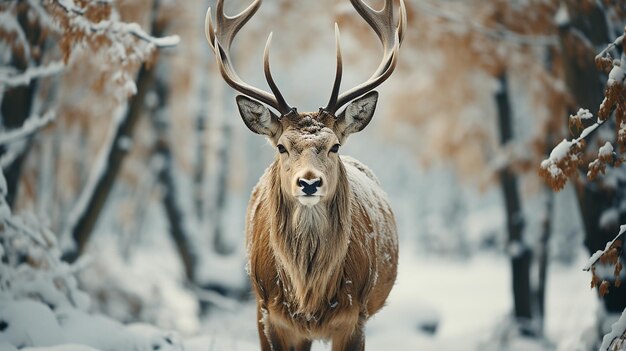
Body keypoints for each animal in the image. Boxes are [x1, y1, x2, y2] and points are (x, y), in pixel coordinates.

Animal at [205, 0, 404, 350]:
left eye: (334, 145)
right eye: (282, 146)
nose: (309, 182)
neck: (308, 298)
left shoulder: (355, 317)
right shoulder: (270, 315)